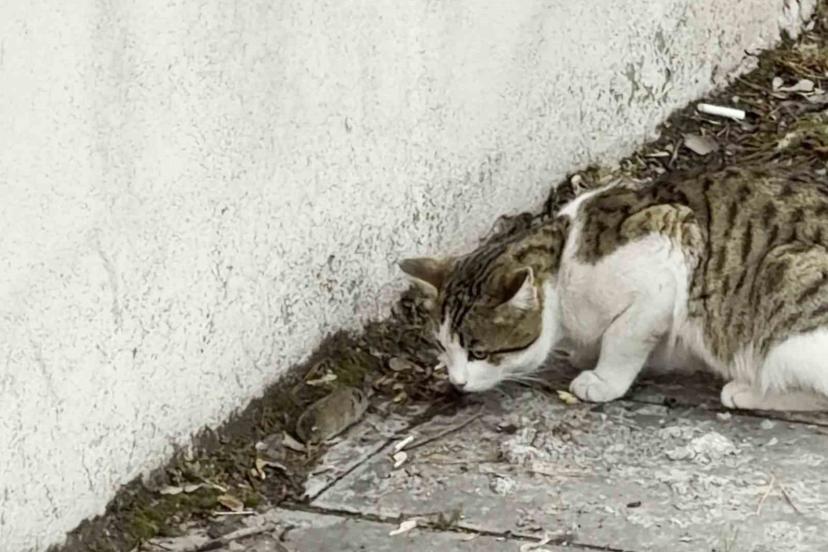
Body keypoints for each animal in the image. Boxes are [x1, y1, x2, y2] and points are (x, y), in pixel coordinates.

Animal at [399, 164, 828, 411]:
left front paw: (603, 379)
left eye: (479, 352)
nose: (457, 382)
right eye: (442, 347)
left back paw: (748, 390)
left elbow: (622, 337)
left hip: (786, 292)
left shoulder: (667, 253)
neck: (564, 257)